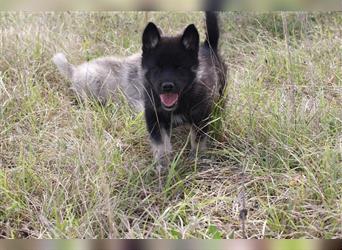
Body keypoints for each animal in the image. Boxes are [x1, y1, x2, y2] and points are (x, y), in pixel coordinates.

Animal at [140, 11, 226, 165]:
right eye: (157, 68)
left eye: (179, 68)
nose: (167, 86)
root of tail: (208, 46)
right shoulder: (154, 116)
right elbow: (160, 143)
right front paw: (163, 163)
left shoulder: (200, 116)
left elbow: (197, 139)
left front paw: (196, 158)